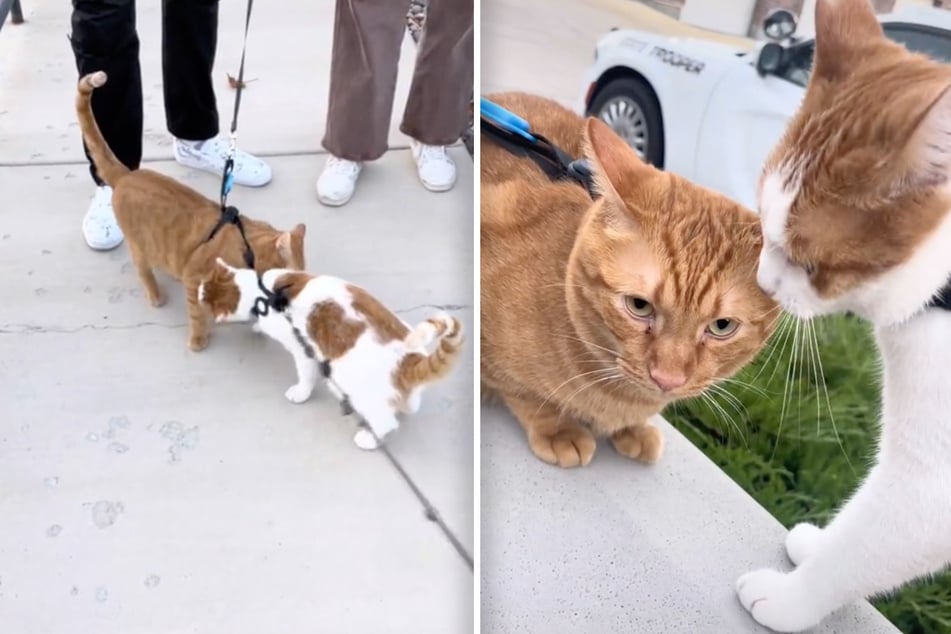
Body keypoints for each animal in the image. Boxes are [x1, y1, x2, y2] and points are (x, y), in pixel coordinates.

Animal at [76, 74, 304, 354]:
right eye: (293, 281)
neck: (247, 251)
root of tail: (127, 175)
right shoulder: (194, 279)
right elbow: (197, 315)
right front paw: (198, 341)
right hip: (139, 247)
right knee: (143, 270)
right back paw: (156, 295)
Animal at [198, 258, 464, 450]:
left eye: (203, 295)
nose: (197, 290)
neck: (262, 293)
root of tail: (410, 359)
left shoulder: (304, 351)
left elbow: (305, 377)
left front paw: (300, 393)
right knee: (407, 405)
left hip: (355, 386)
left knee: (386, 422)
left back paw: (370, 439)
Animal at [484, 91, 780, 466]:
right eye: (639, 306)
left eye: (722, 326)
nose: (667, 379)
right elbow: (523, 393)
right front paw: (557, 428)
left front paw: (633, 430)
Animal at [740, 1, 951, 628]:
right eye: (762, 218)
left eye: (809, 262)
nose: (762, 281)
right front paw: (820, 545)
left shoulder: (933, 486)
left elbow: (869, 545)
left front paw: (790, 599)